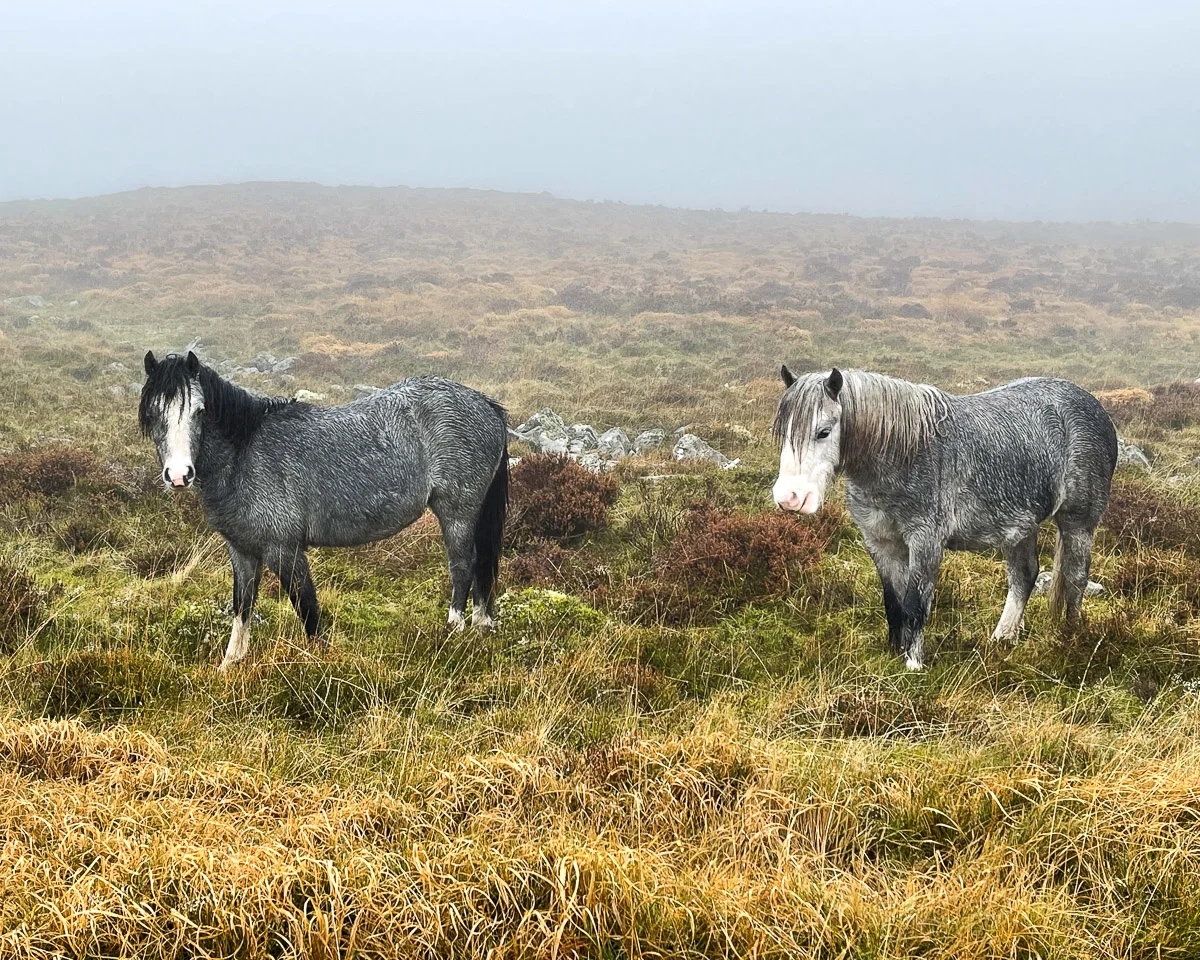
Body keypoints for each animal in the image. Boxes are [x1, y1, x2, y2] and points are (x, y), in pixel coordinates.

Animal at [139, 348, 506, 672]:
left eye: (199, 411)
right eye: (153, 414)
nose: (179, 475)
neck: (245, 455)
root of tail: (487, 405)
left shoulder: (284, 550)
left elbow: (308, 609)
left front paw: (321, 663)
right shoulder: (242, 551)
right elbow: (242, 606)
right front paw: (230, 664)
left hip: (456, 511)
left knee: (463, 566)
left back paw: (454, 630)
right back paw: (479, 626)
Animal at [772, 364, 1118, 667]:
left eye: (823, 432)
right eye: (782, 432)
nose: (789, 498)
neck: (903, 452)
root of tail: (1095, 407)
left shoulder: (925, 541)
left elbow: (915, 603)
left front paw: (912, 665)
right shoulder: (880, 543)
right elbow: (893, 603)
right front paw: (893, 655)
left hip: (1079, 522)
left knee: (1075, 579)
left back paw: (1069, 640)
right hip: (1021, 525)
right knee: (1024, 576)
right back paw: (1002, 639)